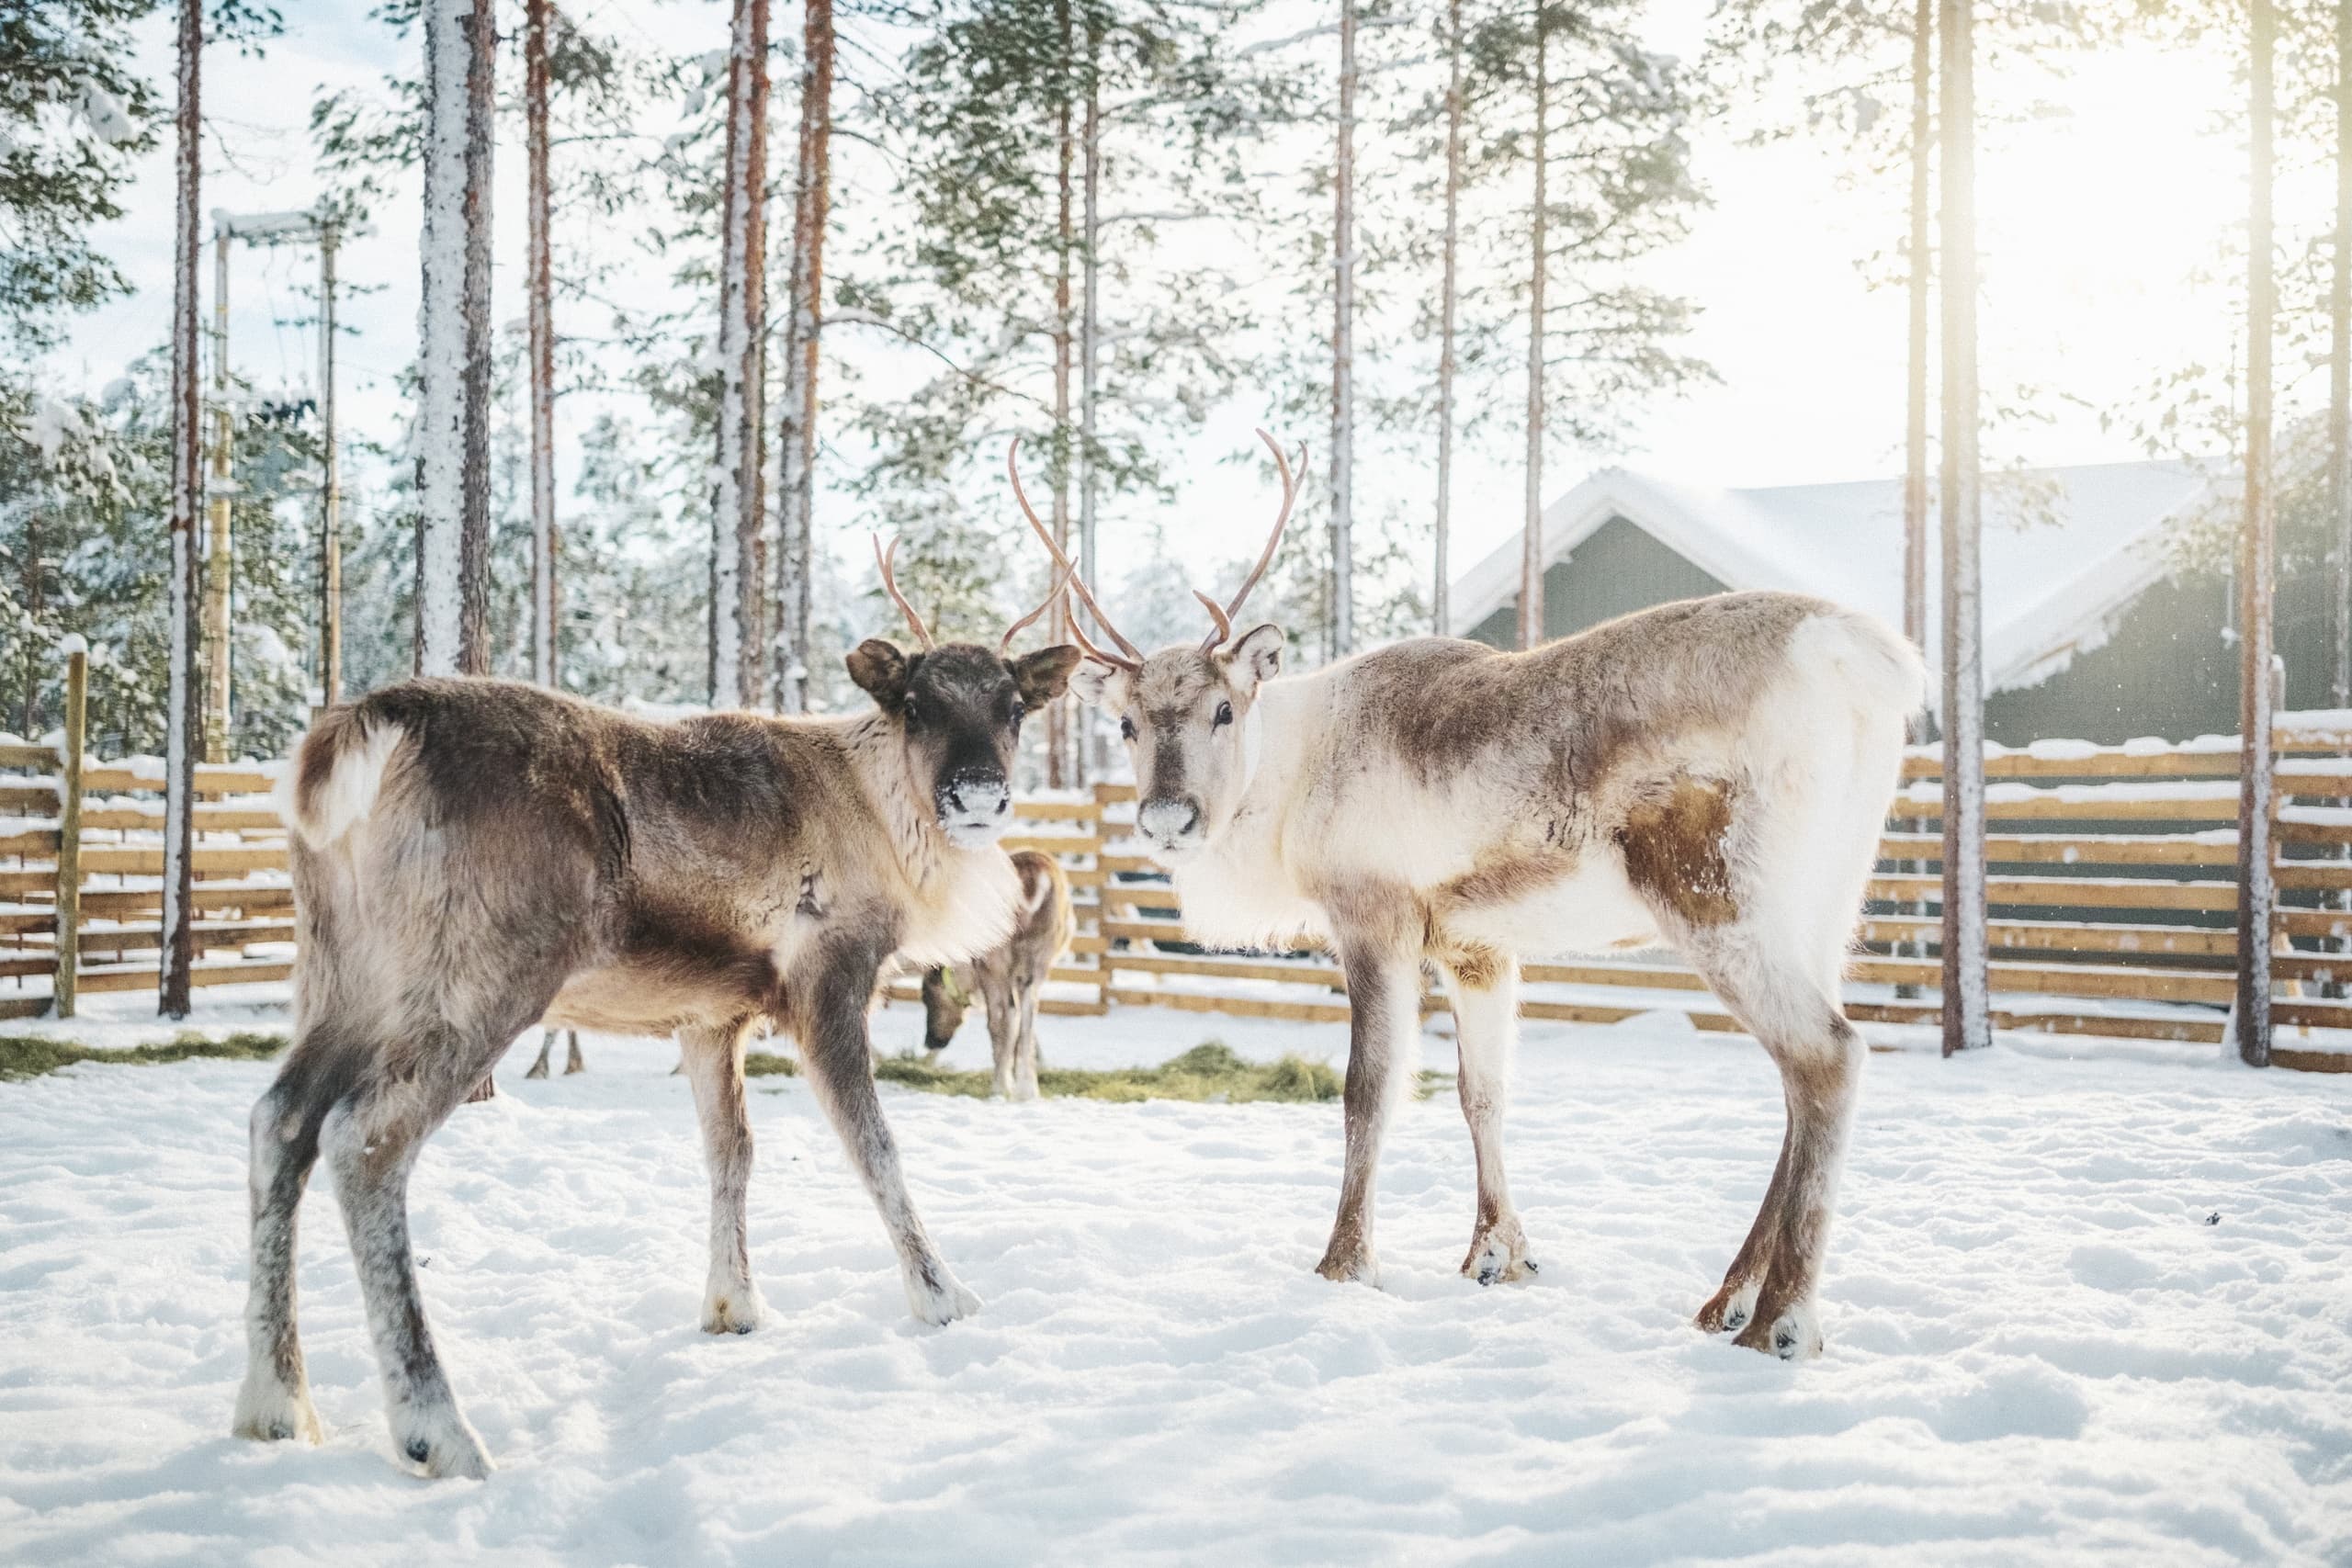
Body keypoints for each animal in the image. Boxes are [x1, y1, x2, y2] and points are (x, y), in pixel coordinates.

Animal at [918, 847, 1074, 1099]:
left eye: (926, 996)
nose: (930, 1041)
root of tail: (1036, 880)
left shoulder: (987, 973)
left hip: (997, 962)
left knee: (1006, 1015)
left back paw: (1000, 1086)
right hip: (1039, 960)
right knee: (1028, 1017)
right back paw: (1028, 1089)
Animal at [1016, 431, 1923, 1361]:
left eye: (1224, 710)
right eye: (1127, 723)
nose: (1167, 816)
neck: (1293, 777)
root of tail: (1865, 658)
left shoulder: (1373, 917)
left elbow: (1370, 1089)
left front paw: (1346, 1261)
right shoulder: (1476, 945)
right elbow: (1481, 1090)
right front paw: (1499, 1251)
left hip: (1717, 893)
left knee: (1827, 1056)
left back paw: (1779, 1318)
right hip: (1826, 906)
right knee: (1799, 1076)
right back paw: (1726, 1299)